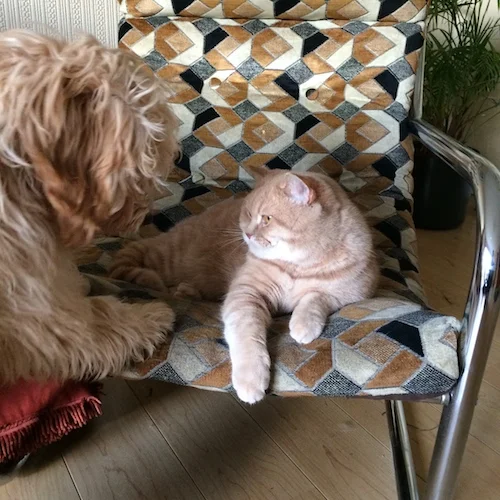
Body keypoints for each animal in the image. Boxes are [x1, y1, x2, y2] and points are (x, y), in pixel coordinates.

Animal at [109, 167, 376, 402]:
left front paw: (303, 324)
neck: (298, 266)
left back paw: (186, 291)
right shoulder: (246, 294)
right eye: (247, 213)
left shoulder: (353, 292)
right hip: (171, 260)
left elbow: (316, 297)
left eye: (267, 218)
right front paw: (251, 380)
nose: (247, 234)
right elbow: (248, 337)